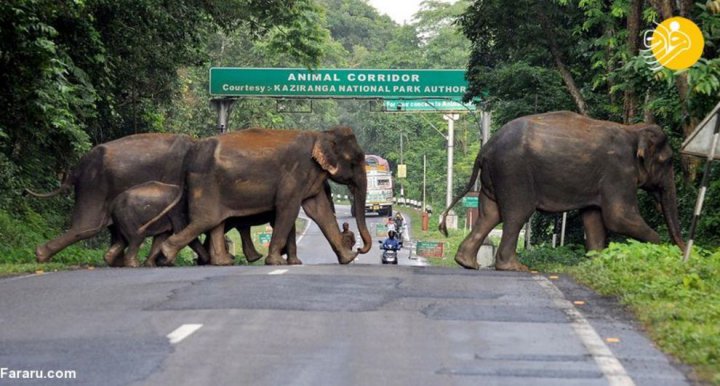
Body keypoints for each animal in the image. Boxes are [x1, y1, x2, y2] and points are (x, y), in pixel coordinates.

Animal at [158, 126, 372, 266]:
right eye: (356, 160)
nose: (359, 249)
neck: (321, 134)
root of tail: (190, 155)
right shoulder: (295, 174)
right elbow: (288, 208)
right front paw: (276, 262)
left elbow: (319, 211)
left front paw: (348, 259)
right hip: (205, 184)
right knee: (206, 220)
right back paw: (166, 255)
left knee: (215, 222)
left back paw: (222, 262)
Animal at [438, 110, 688, 270]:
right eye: (668, 161)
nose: (684, 254)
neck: (634, 130)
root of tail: (485, 149)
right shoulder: (620, 172)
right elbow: (619, 217)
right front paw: (659, 251)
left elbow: (594, 220)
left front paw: (597, 261)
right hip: (513, 172)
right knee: (517, 214)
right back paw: (514, 267)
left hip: (495, 176)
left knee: (490, 215)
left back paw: (467, 263)